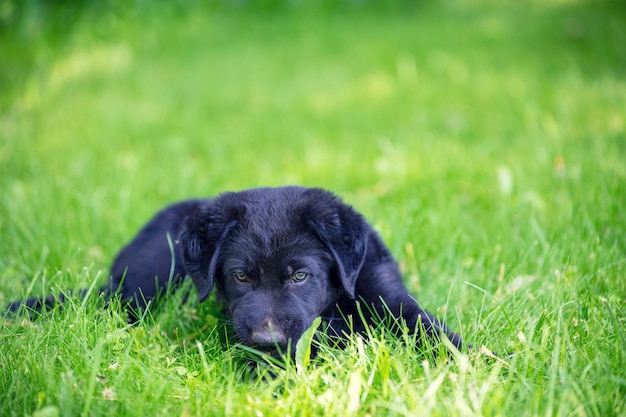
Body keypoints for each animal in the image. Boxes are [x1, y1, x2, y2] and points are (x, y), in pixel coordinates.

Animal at [6, 187, 464, 352]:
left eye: (300, 276)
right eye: (241, 277)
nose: (268, 340)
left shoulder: (381, 287)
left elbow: (423, 323)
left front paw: (470, 363)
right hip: (150, 282)